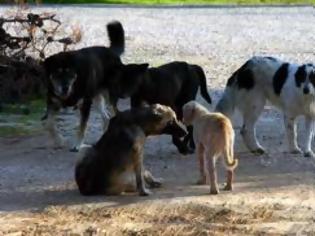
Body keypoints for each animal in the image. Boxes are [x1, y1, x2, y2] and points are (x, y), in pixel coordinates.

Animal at [42, 21, 149, 152]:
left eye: (70, 73)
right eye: (57, 73)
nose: (64, 88)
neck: (73, 87)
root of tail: (111, 51)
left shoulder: (85, 104)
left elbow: (82, 126)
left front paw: (77, 145)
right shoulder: (52, 103)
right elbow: (49, 124)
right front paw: (59, 141)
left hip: (110, 96)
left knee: (115, 114)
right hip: (97, 98)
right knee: (106, 117)